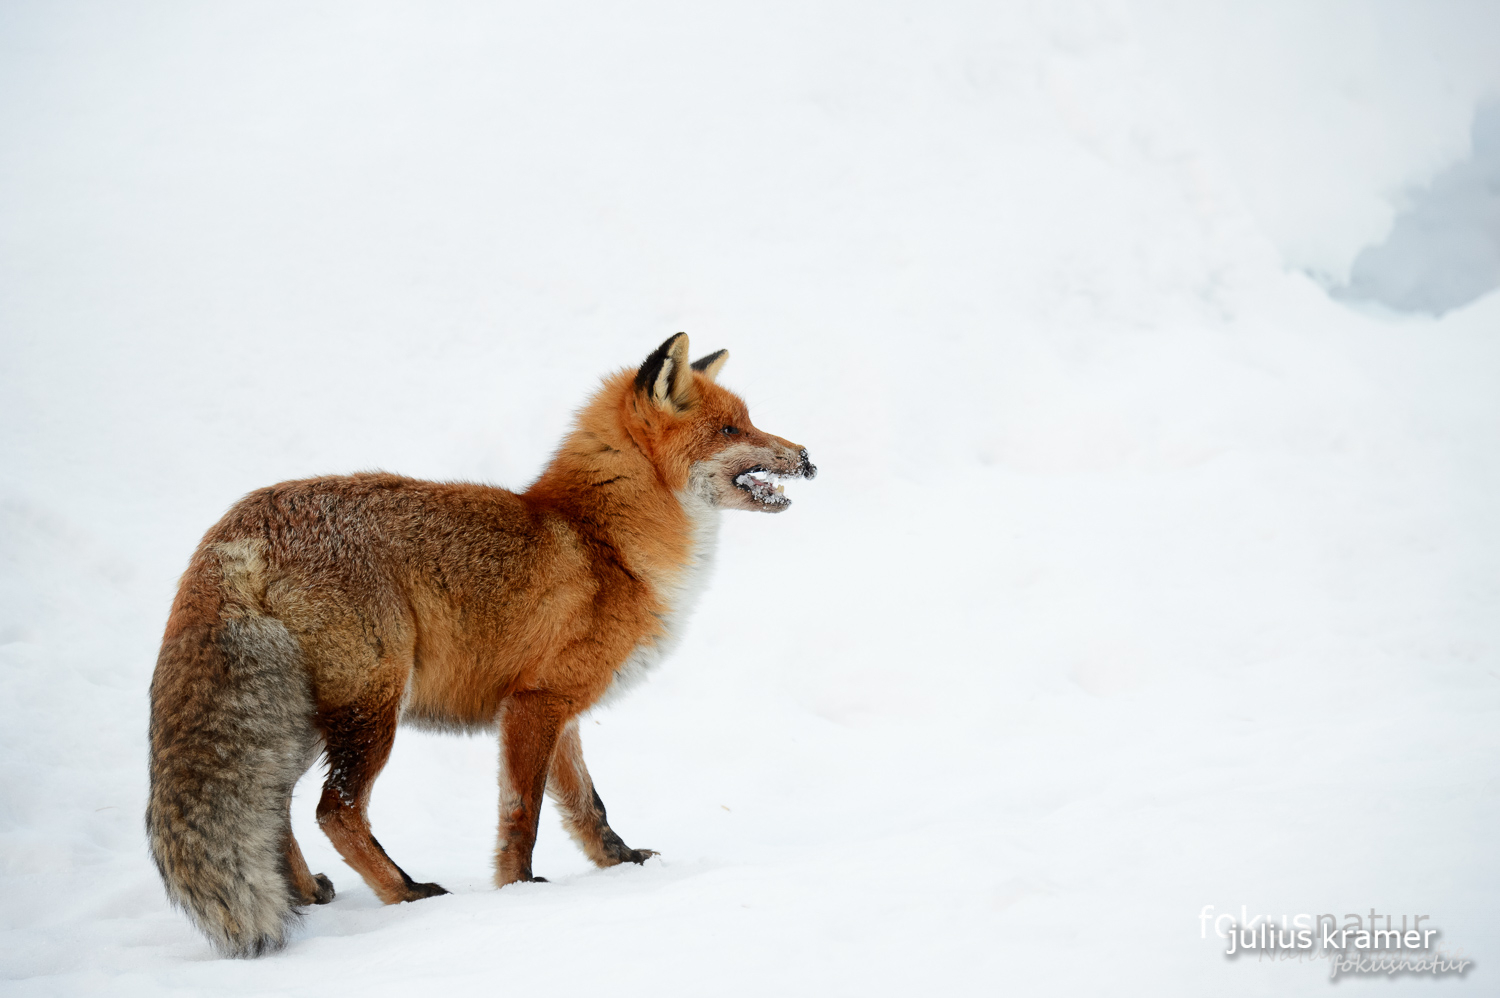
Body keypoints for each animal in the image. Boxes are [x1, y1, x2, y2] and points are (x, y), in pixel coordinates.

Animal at [146, 336, 816, 960]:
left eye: (749, 421)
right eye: (731, 429)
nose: (808, 455)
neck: (605, 542)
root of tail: (234, 529)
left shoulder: (557, 707)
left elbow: (588, 807)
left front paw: (621, 865)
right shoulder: (532, 706)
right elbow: (522, 815)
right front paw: (518, 891)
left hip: (310, 716)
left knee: (274, 808)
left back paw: (306, 893)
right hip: (373, 707)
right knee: (333, 810)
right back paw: (405, 893)